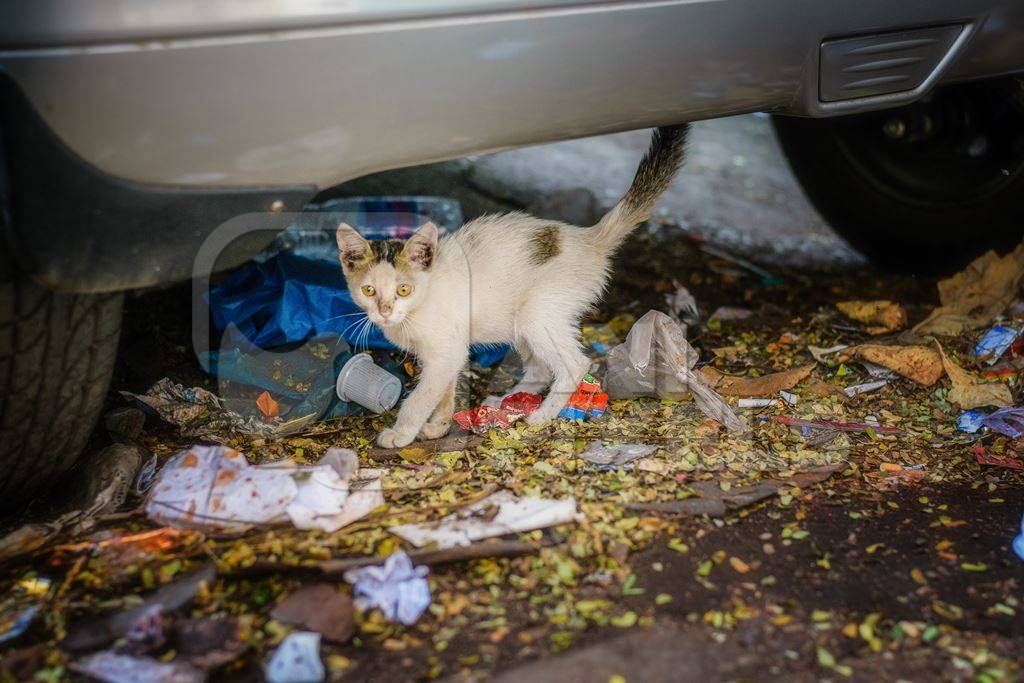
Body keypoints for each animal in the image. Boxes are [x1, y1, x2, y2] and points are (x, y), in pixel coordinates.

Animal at [335, 126, 688, 448]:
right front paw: (438, 425)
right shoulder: (448, 353)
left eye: (404, 289)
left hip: (538, 314)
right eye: (369, 290)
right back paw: (509, 401)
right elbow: (444, 391)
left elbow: (421, 397)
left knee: (574, 365)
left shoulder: (445, 351)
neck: (418, 307)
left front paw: (402, 433)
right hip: (519, 322)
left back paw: (541, 415)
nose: (384, 311)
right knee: (541, 368)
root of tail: (588, 238)